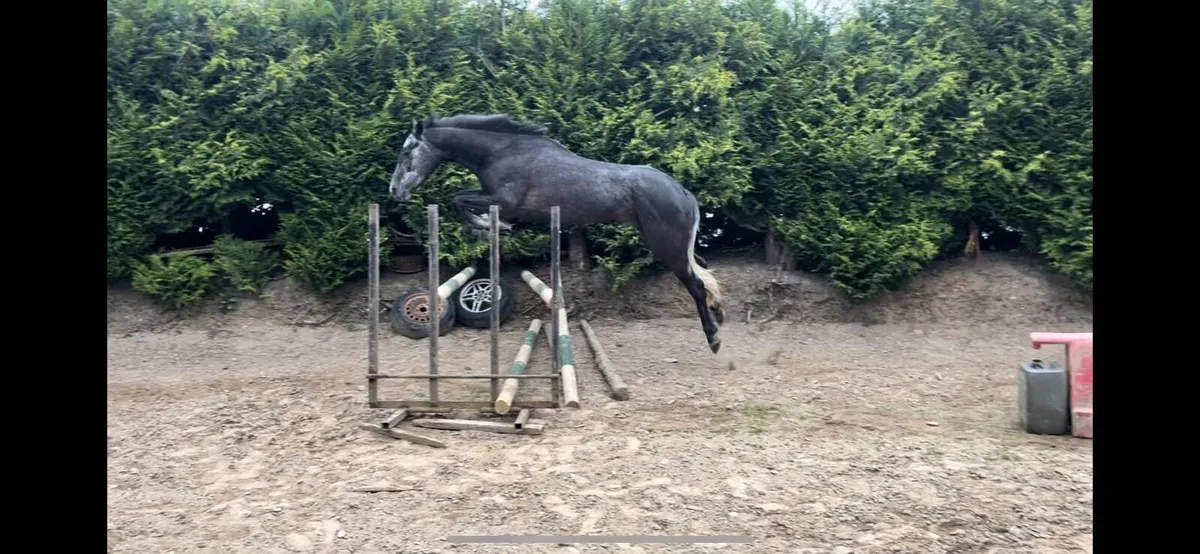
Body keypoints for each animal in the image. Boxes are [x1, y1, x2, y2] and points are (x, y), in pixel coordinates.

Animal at [388, 113, 726, 354]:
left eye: (406, 152)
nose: (395, 192)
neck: (503, 153)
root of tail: (682, 193)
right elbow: (459, 199)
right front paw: (482, 227)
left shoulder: (506, 203)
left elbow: (458, 199)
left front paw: (486, 226)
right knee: (704, 279)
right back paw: (719, 314)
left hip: (667, 248)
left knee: (696, 286)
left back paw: (714, 339)